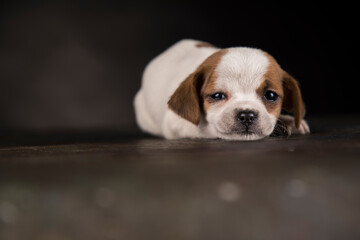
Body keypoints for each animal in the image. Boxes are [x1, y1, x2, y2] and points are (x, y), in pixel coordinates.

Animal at [134, 39, 310, 141]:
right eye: (217, 95)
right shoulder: (175, 123)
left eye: (271, 95)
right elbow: (208, 128)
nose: (247, 115)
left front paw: (288, 121)